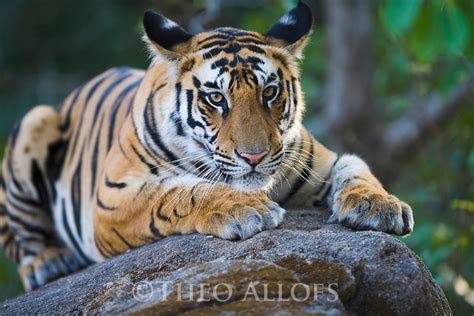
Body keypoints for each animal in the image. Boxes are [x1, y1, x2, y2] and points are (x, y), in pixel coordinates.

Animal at [0, 1, 412, 290]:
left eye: (270, 92)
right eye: (216, 98)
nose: (254, 156)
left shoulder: (325, 160)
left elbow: (358, 171)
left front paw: (378, 206)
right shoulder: (112, 197)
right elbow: (178, 192)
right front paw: (244, 209)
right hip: (35, 121)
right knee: (19, 238)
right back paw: (49, 263)